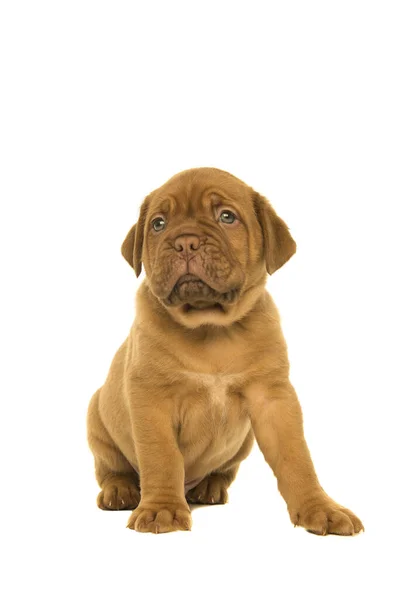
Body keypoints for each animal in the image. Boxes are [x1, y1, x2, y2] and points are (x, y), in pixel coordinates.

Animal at [86, 168, 364, 536]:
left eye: (227, 217)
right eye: (158, 224)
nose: (185, 242)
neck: (211, 328)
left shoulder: (274, 399)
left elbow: (296, 458)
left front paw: (321, 508)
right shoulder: (151, 399)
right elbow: (161, 457)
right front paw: (162, 509)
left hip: (243, 442)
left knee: (223, 471)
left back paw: (209, 487)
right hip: (97, 417)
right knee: (111, 467)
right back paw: (121, 490)